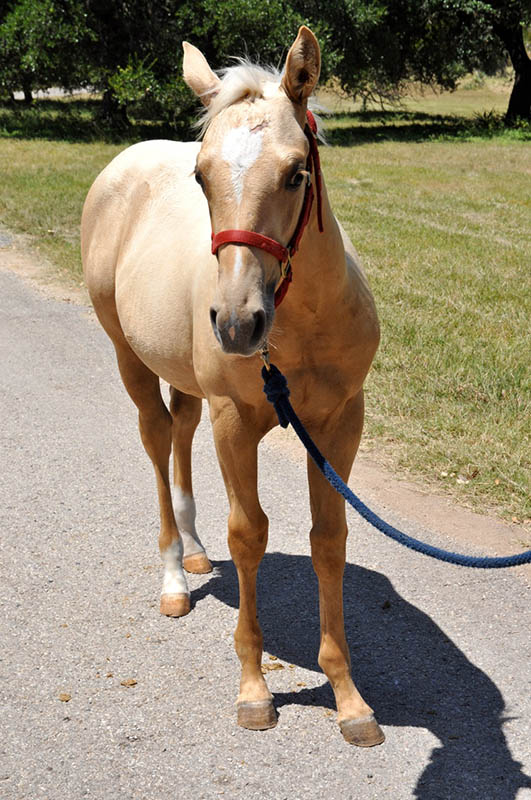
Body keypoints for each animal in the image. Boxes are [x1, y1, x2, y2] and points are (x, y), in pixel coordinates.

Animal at [81, 26, 382, 752]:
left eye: (297, 172)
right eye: (201, 175)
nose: (239, 322)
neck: (298, 328)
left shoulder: (339, 423)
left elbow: (329, 538)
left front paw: (348, 697)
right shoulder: (235, 423)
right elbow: (249, 536)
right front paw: (253, 690)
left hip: (186, 378)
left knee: (180, 429)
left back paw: (193, 553)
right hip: (128, 357)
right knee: (157, 438)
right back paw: (172, 575)